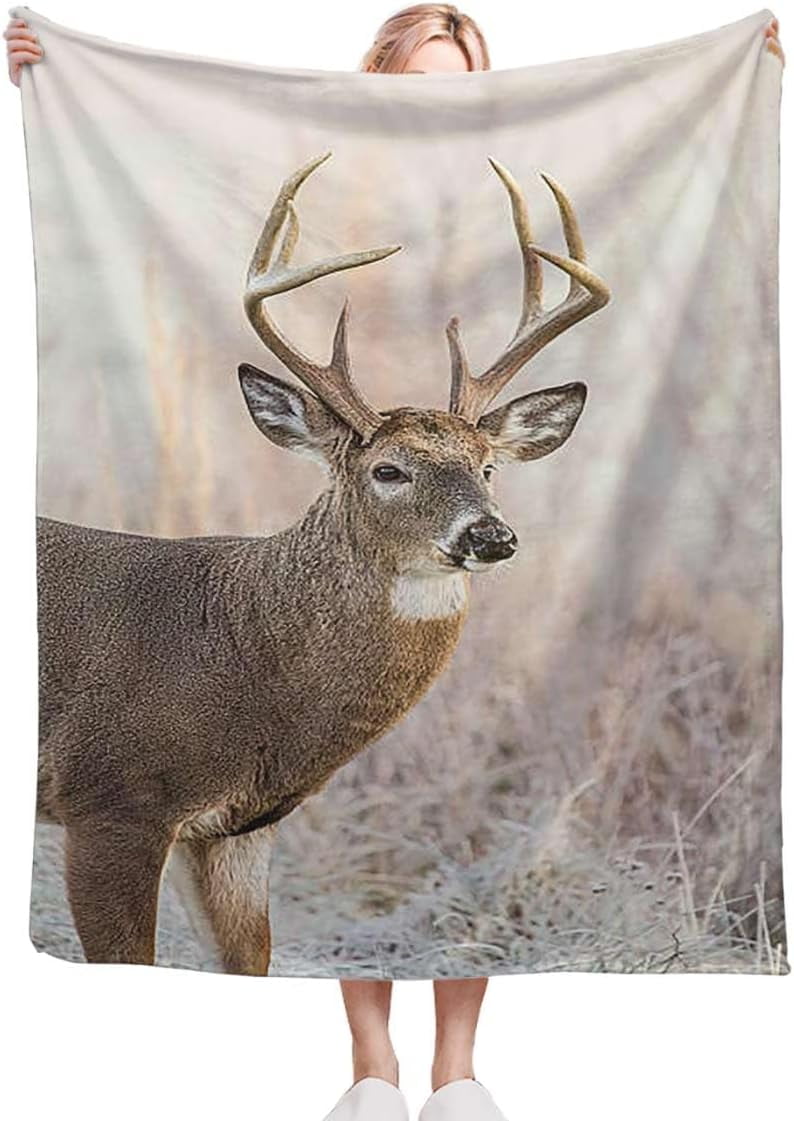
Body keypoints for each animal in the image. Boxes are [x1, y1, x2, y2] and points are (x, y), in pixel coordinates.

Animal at [35, 152, 610, 974]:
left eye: (488, 467)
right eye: (389, 471)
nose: (491, 535)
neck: (239, 651)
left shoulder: (236, 830)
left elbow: (250, 964)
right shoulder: (109, 800)